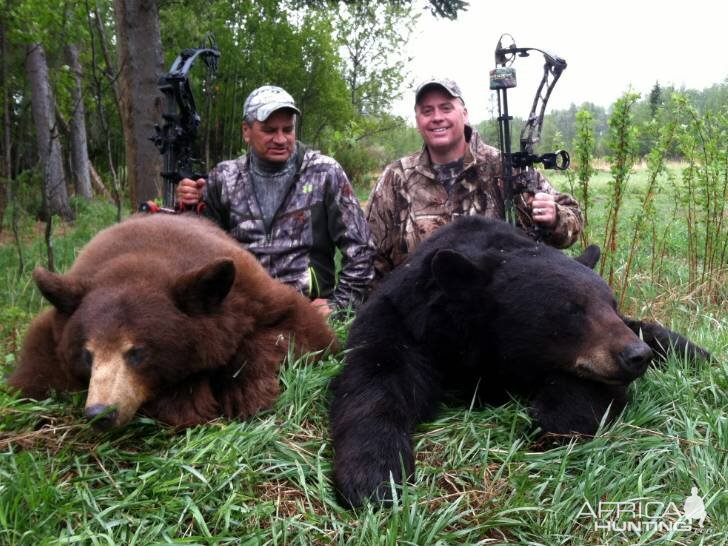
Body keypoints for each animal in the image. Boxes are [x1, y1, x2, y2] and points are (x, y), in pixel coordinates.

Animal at [7, 212, 336, 430]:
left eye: (137, 352)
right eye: (87, 355)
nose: (100, 413)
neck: (141, 261)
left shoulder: (255, 297)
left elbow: (301, 332)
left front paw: (243, 394)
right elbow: (33, 378)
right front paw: (188, 399)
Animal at [332, 215, 712, 504]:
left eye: (611, 304)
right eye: (571, 309)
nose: (636, 356)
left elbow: (588, 393)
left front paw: (552, 418)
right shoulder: (402, 320)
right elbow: (375, 378)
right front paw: (373, 474)